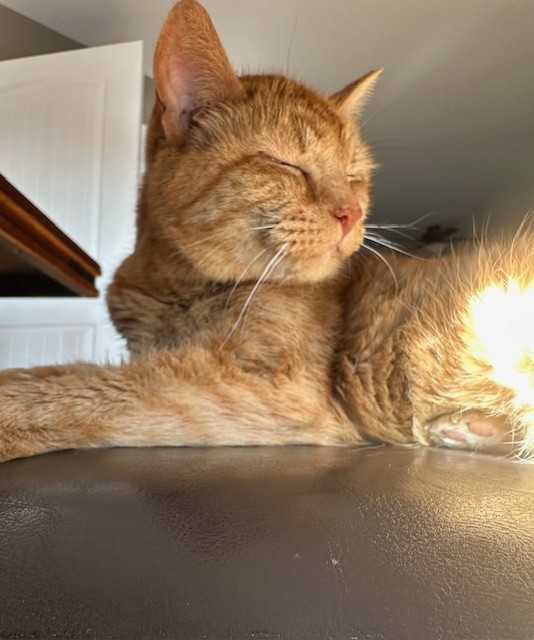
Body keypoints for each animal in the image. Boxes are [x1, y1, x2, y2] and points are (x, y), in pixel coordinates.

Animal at [0, 0, 532, 462]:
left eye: (354, 176)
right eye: (288, 164)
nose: (351, 213)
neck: (172, 286)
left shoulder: (273, 389)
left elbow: (76, 386)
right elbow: (56, 373)